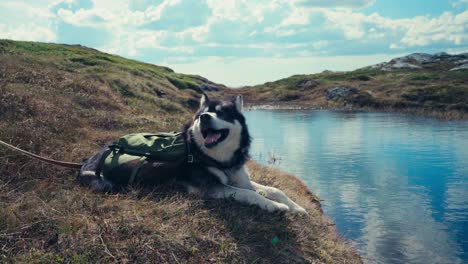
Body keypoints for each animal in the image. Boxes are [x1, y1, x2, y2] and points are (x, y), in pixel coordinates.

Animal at [78, 95, 308, 214]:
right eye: (201, 115)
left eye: (222, 113)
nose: (205, 117)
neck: (219, 158)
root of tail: (86, 164)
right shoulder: (211, 188)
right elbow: (249, 194)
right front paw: (276, 207)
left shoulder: (240, 179)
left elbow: (274, 189)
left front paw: (297, 207)